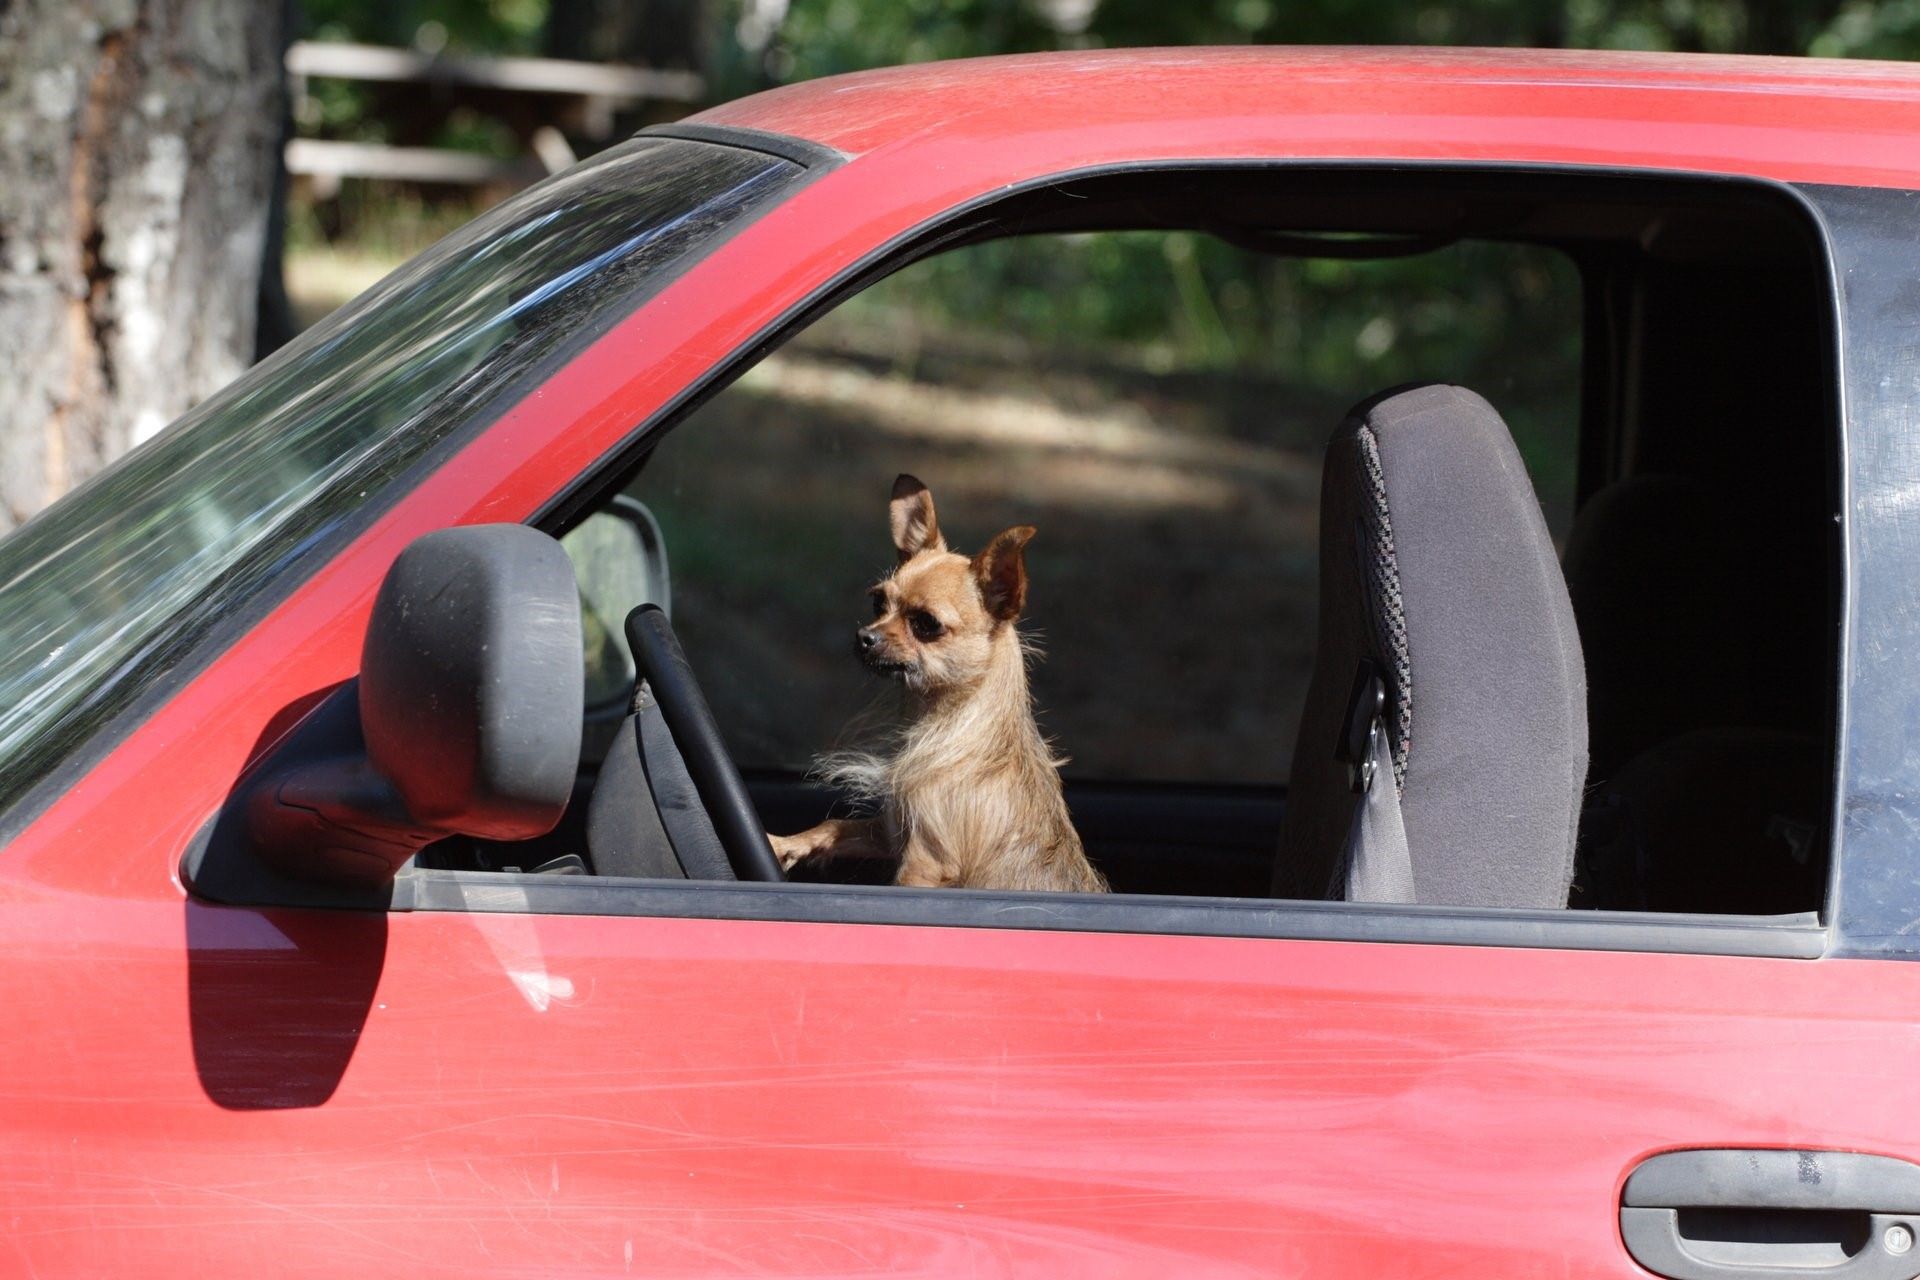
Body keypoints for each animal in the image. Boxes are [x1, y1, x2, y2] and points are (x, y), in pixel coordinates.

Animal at [768, 475, 1113, 898]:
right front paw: (783, 843)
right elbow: (835, 825)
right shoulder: (890, 834)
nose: (864, 636)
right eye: (877, 603)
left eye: (926, 624)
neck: (943, 720)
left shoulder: (925, 864)